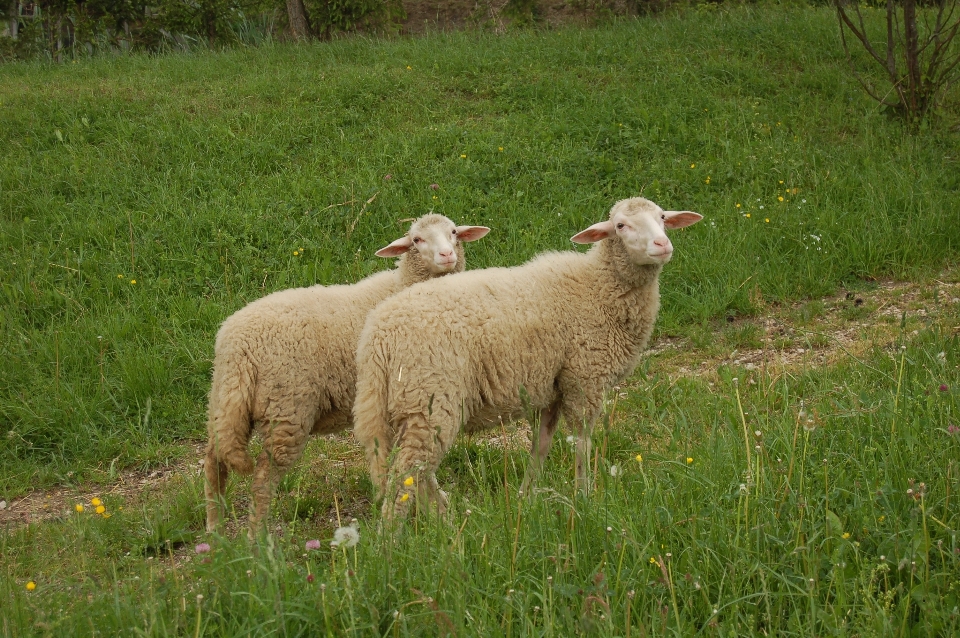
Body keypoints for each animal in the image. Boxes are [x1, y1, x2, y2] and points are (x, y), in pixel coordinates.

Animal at [202, 215, 488, 536]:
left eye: (453, 232)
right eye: (416, 240)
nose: (447, 255)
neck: (400, 283)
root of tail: (235, 344)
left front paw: (435, 512)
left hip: (225, 403)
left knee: (214, 462)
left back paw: (215, 530)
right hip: (286, 408)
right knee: (263, 478)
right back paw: (257, 537)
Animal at [352, 199, 696, 520]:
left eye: (662, 217)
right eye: (621, 225)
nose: (662, 245)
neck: (598, 285)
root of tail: (375, 336)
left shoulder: (551, 387)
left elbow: (540, 446)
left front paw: (526, 497)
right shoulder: (585, 378)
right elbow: (581, 443)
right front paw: (584, 497)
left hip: (408, 405)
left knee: (415, 472)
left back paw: (444, 519)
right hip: (430, 397)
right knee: (406, 472)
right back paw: (394, 536)